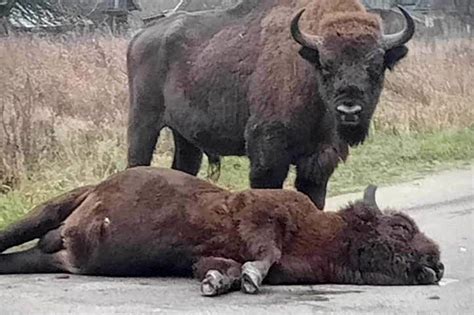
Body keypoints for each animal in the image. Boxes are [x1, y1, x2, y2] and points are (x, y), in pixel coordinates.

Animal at [0, 168, 444, 296]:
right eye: (401, 227)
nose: (437, 263)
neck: (325, 231)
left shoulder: (207, 254)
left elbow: (221, 265)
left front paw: (219, 281)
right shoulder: (263, 215)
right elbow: (266, 252)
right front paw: (249, 278)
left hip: (58, 258)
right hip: (48, 212)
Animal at [126, 0, 414, 212]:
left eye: (376, 67)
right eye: (326, 65)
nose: (349, 111)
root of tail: (139, 37)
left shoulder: (320, 159)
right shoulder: (268, 152)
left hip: (185, 138)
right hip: (143, 124)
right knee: (136, 164)